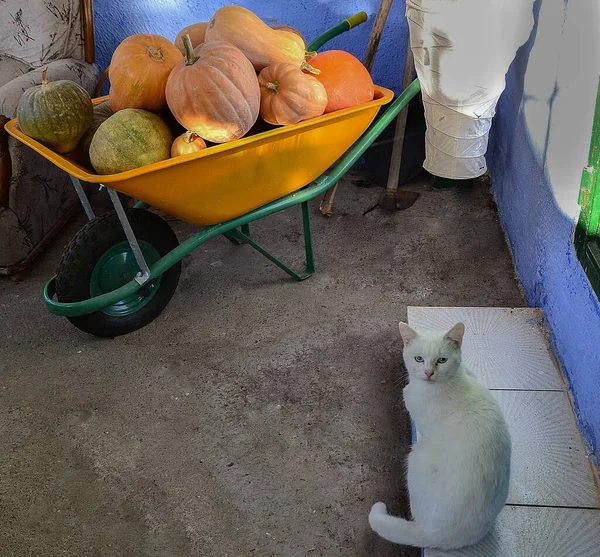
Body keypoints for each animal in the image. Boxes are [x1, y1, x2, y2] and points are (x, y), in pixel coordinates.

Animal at [370, 322, 510, 548]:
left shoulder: (423, 423)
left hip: (416, 456)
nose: (428, 372)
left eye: (442, 360)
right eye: (419, 359)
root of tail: (437, 536)